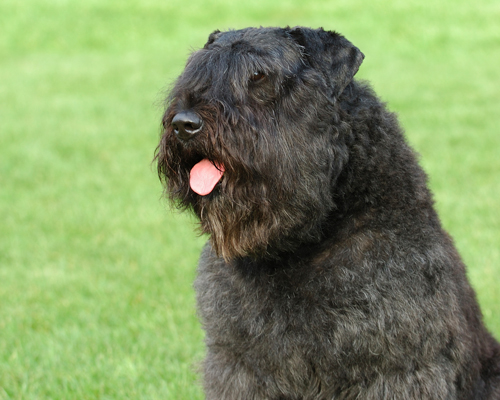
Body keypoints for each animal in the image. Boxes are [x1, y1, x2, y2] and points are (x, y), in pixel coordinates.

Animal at [155, 26, 500, 398]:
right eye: (197, 71)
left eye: (259, 76)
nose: (184, 124)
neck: (298, 247)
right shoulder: (239, 365)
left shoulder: (396, 370)